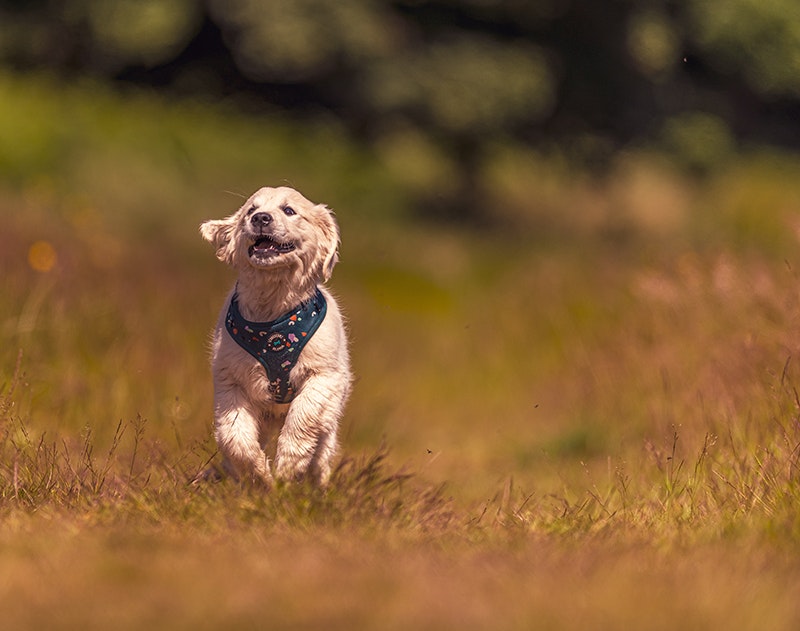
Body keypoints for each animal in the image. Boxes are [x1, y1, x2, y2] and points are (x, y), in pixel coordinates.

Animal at [197, 185, 350, 486]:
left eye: (289, 210)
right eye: (251, 211)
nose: (261, 218)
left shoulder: (325, 377)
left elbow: (303, 416)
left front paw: (287, 467)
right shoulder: (230, 382)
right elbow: (234, 436)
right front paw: (260, 475)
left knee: (321, 457)